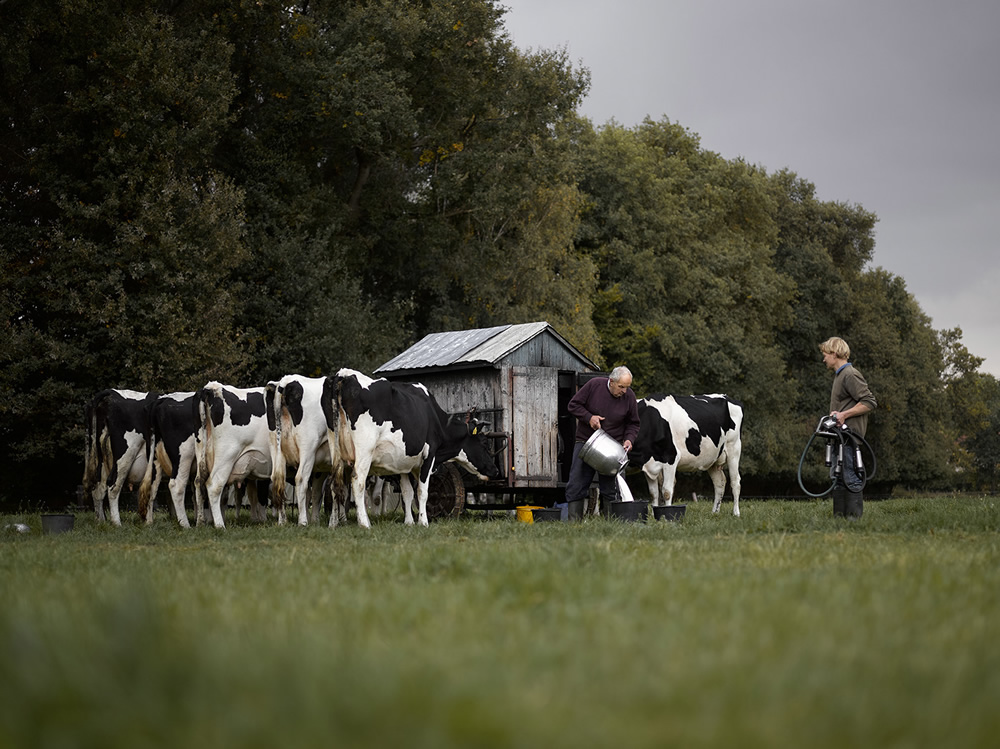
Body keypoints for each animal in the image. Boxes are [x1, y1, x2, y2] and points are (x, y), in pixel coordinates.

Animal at [83, 388, 157, 524]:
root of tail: (111, 392)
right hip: (126, 454)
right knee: (113, 487)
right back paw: (117, 523)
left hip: (101, 460)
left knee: (98, 489)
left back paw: (101, 521)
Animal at [138, 392, 204, 524]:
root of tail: (162, 400)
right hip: (184, 455)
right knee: (176, 485)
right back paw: (185, 524)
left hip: (155, 459)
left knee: (152, 488)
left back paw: (149, 522)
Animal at [195, 382, 276, 528]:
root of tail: (211, 387)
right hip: (226, 455)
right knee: (214, 486)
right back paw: (220, 525)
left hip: (201, 453)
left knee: (199, 483)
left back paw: (200, 522)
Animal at [268, 374, 334, 524]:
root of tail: (286, 381)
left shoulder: (319, 467)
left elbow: (315, 493)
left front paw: (315, 520)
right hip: (308, 447)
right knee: (300, 478)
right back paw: (302, 521)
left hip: (276, 448)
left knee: (277, 479)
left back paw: (282, 521)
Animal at [324, 368, 500, 524]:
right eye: (484, 444)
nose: (496, 470)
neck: (434, 416)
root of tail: (344, 375)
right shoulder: (429, 455)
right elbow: (422, 492)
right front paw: (423, 522)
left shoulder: (403, 462)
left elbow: (407, 492)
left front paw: (409, 522)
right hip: (364, 450)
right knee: (357, 482)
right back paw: (364, 523)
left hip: (335, 449)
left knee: (335, 484)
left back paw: (334, 523)